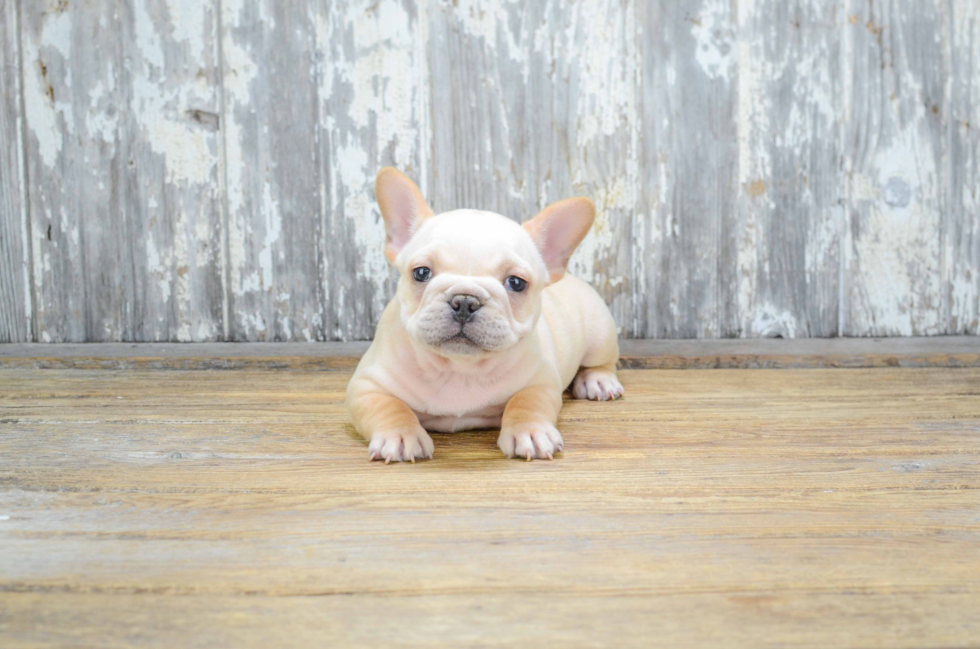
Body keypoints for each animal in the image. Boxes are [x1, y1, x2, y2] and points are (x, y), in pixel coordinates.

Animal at [348, 167, 624, 460]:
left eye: (516, 283)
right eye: (421, 272)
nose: (465, 301)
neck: (459, 368)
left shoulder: (541, 380)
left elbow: (526, 402)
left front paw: (530, 431)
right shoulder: (366, 385)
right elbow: (388, 406)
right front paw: (400, 435)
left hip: (600, 333)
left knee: (603, 362)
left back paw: (598, 381)